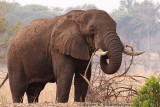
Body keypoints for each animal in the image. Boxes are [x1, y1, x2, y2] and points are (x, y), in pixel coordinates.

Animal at [0, 9, 144, 103]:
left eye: (115, 27)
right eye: (92, 30)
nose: (104, 52)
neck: (81, 15)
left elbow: (83, 77)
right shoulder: (57, 48)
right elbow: (66, 75)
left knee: (34, 91)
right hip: (14, 59)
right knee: (18, 90)